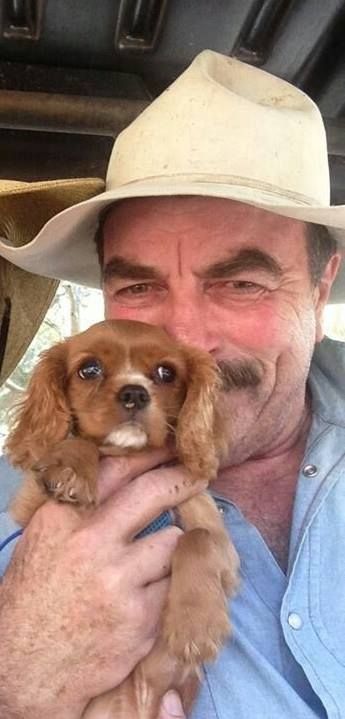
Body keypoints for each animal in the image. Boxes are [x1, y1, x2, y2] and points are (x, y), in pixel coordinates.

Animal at [5, 322, 238, 719]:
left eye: (166, 373)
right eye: (90, 369)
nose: (134, 393)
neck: (124, 455)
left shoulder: (223, 551)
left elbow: (198, 538)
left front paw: (196, 625)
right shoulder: (30, 510)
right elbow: (80, 447)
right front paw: (72, 467)